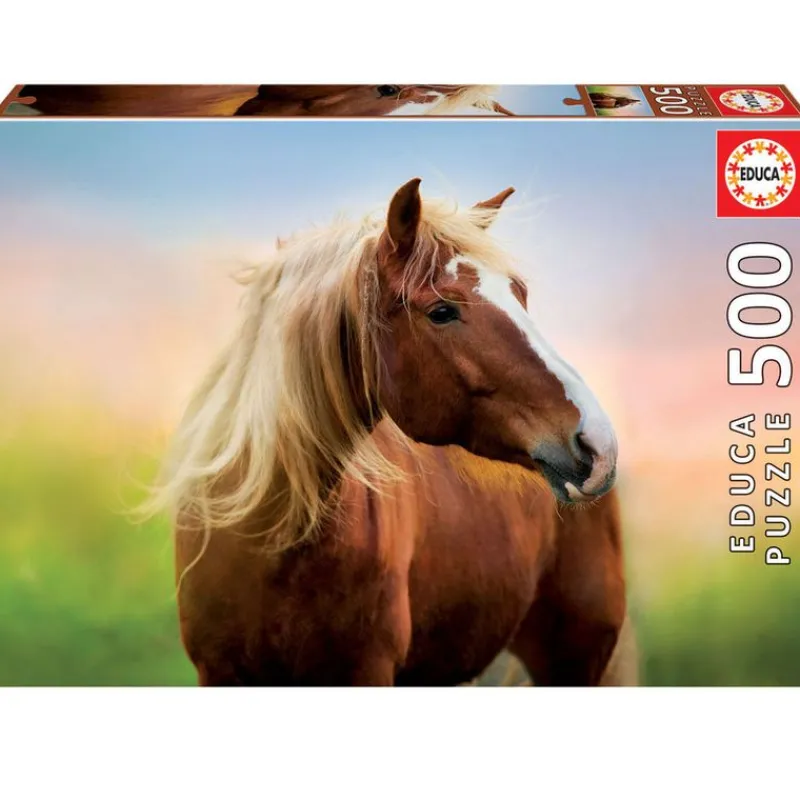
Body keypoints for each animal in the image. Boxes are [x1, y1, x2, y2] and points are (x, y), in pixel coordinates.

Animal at [152, 178, 636, 686]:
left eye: (519, 295)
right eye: (441, 311)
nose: (597, 442)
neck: (271, 540)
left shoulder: (367, 669)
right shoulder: (218, 671)